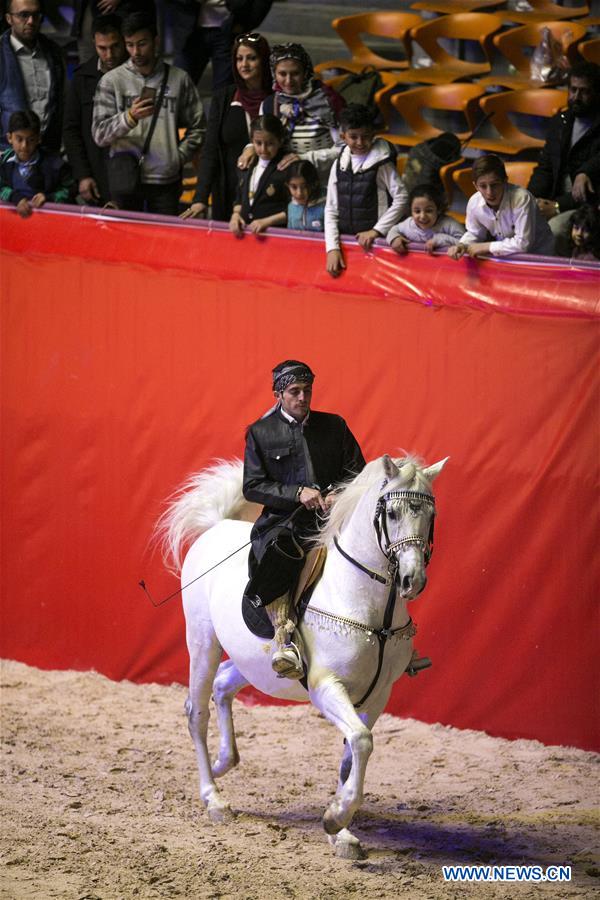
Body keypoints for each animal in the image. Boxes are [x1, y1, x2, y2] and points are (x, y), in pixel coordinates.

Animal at [157, 454, 448, 860]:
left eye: (431, 514)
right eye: (391, 513)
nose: (412, 580)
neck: (372, 611)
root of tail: (216, 527)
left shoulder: (377, 696)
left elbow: (351, 754)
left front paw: (342, 834)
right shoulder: (326, 688)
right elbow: (361, 741)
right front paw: (335, 818)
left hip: (255, 665)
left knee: (224, 684)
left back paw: (223, 762)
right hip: (202, 642)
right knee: (196, 712)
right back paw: (213, 798)